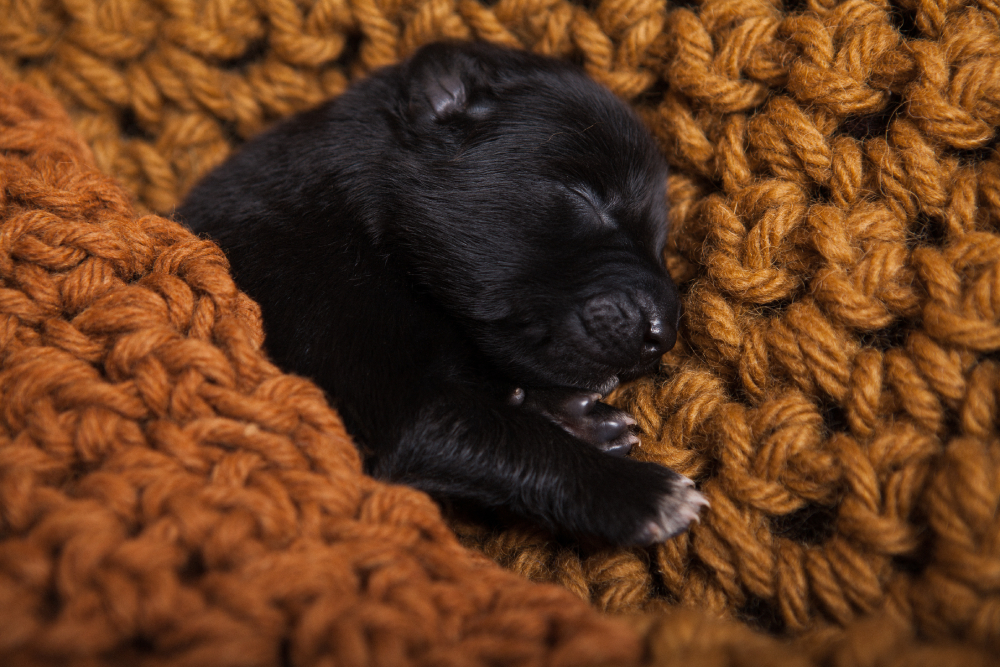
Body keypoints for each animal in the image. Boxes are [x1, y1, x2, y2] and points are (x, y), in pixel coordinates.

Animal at [182, 39, 712, 544]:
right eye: (585, 198)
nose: (663, 336)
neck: (362, 228)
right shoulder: (378, 389)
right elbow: (497, 435)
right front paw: (640, 491)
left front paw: (567, 413)